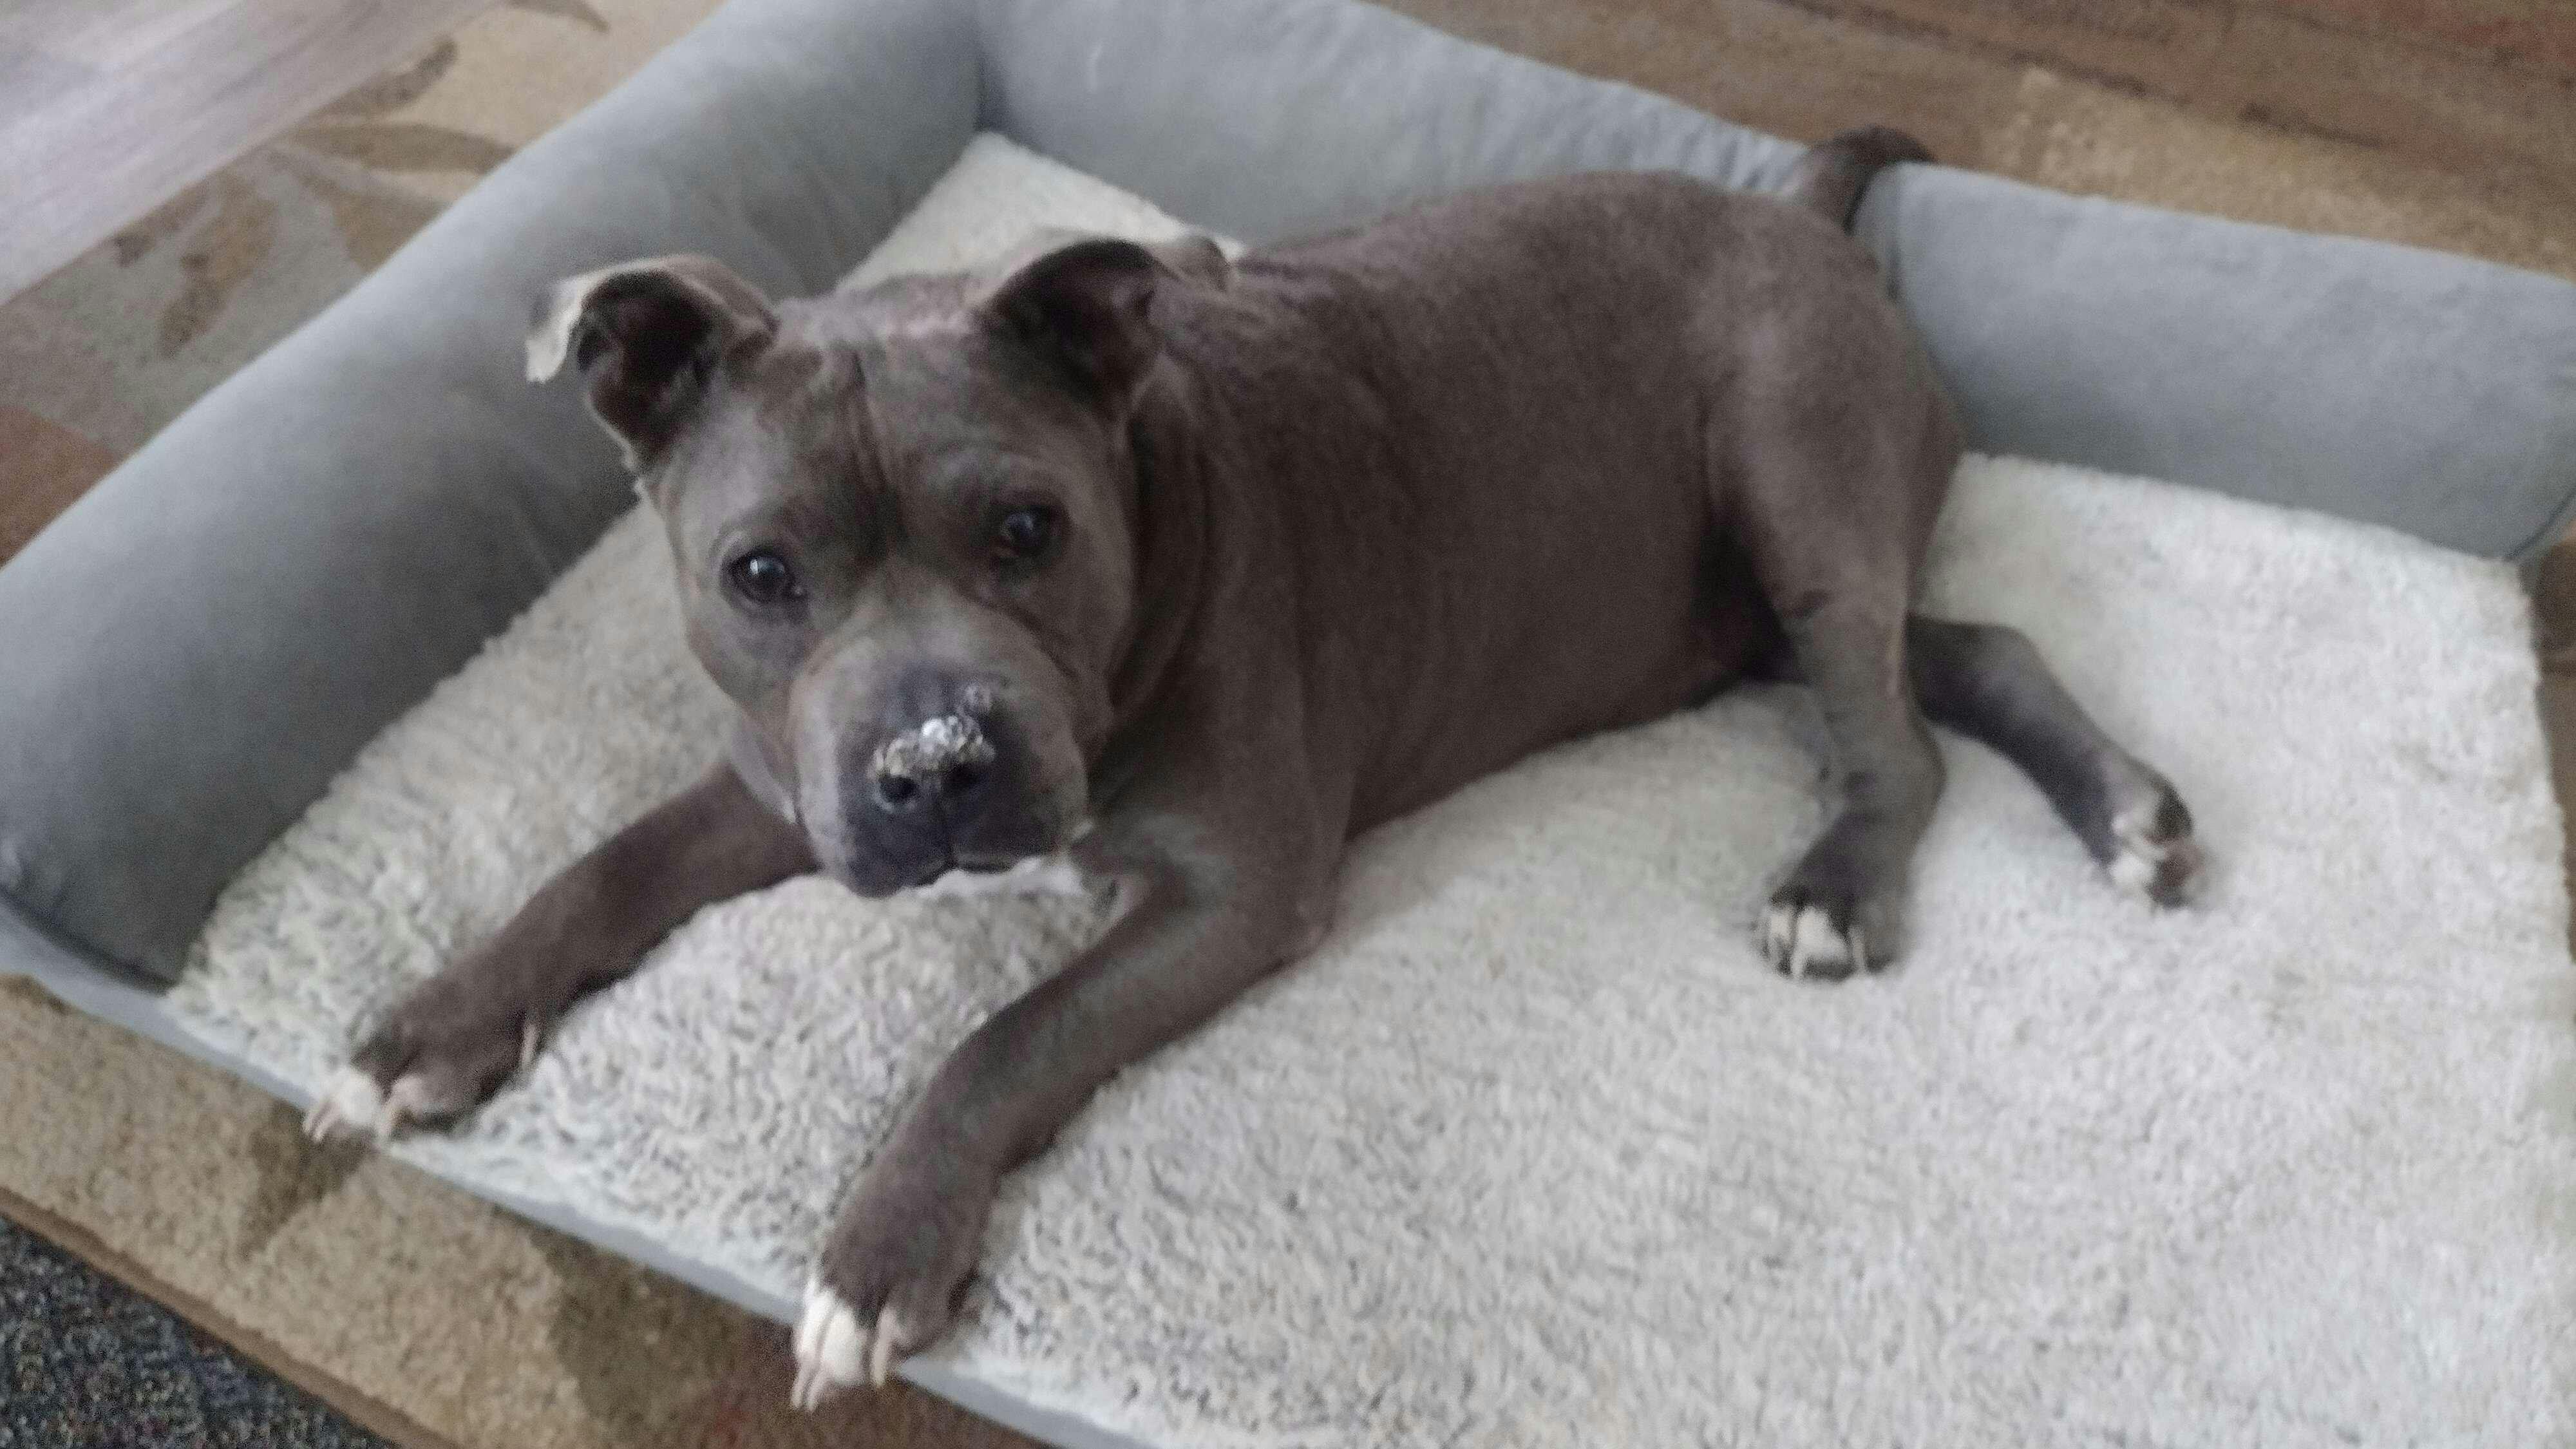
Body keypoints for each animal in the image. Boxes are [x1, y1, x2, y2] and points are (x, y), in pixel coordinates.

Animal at [304, 127, 2199, 1407]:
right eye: (759, 573)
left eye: (1029, 529)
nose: (936, 760)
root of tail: (1791, 209)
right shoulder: (781, 779)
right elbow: (604, 863)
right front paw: (427, 1027)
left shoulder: (1233, 891)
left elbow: (1006, 1036)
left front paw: (883, 1243)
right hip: (1739, 603)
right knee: (1967, 652)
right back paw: (2124, 809)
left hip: (1793, 470)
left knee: (1898, 736)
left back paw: (1844, 883)